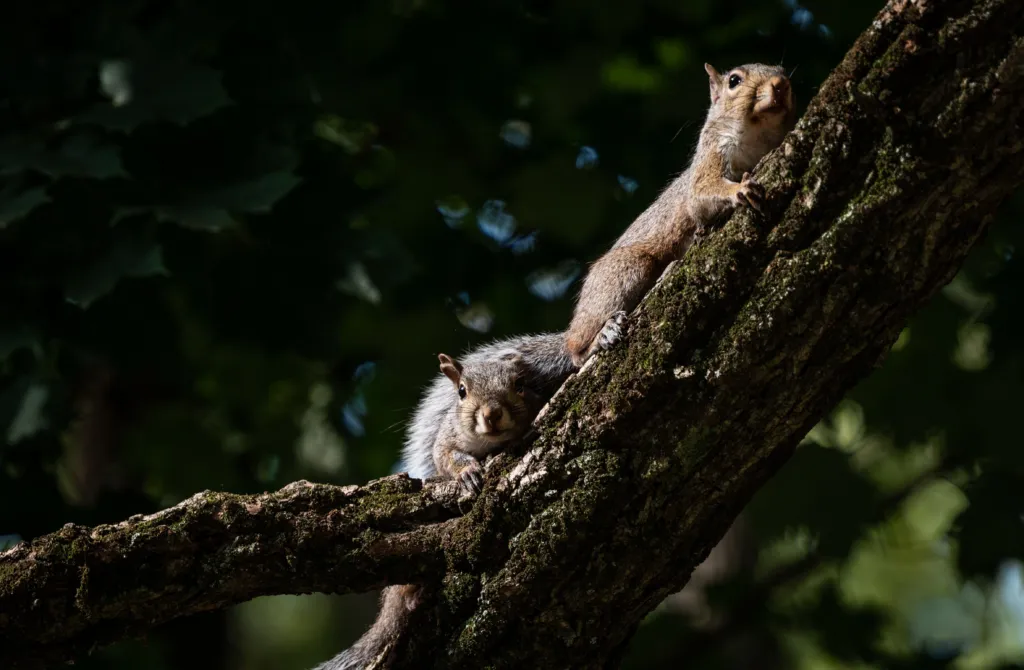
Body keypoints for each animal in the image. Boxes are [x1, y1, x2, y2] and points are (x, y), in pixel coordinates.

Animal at [565, 62, 797, 366]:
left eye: (781, 70)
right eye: (734, 80)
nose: (781, 85)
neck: (758, 135)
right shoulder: (710, 157)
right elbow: (701, 195)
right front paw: (740, 190)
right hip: (626, 270)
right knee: (574, 348)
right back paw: (597, 338)